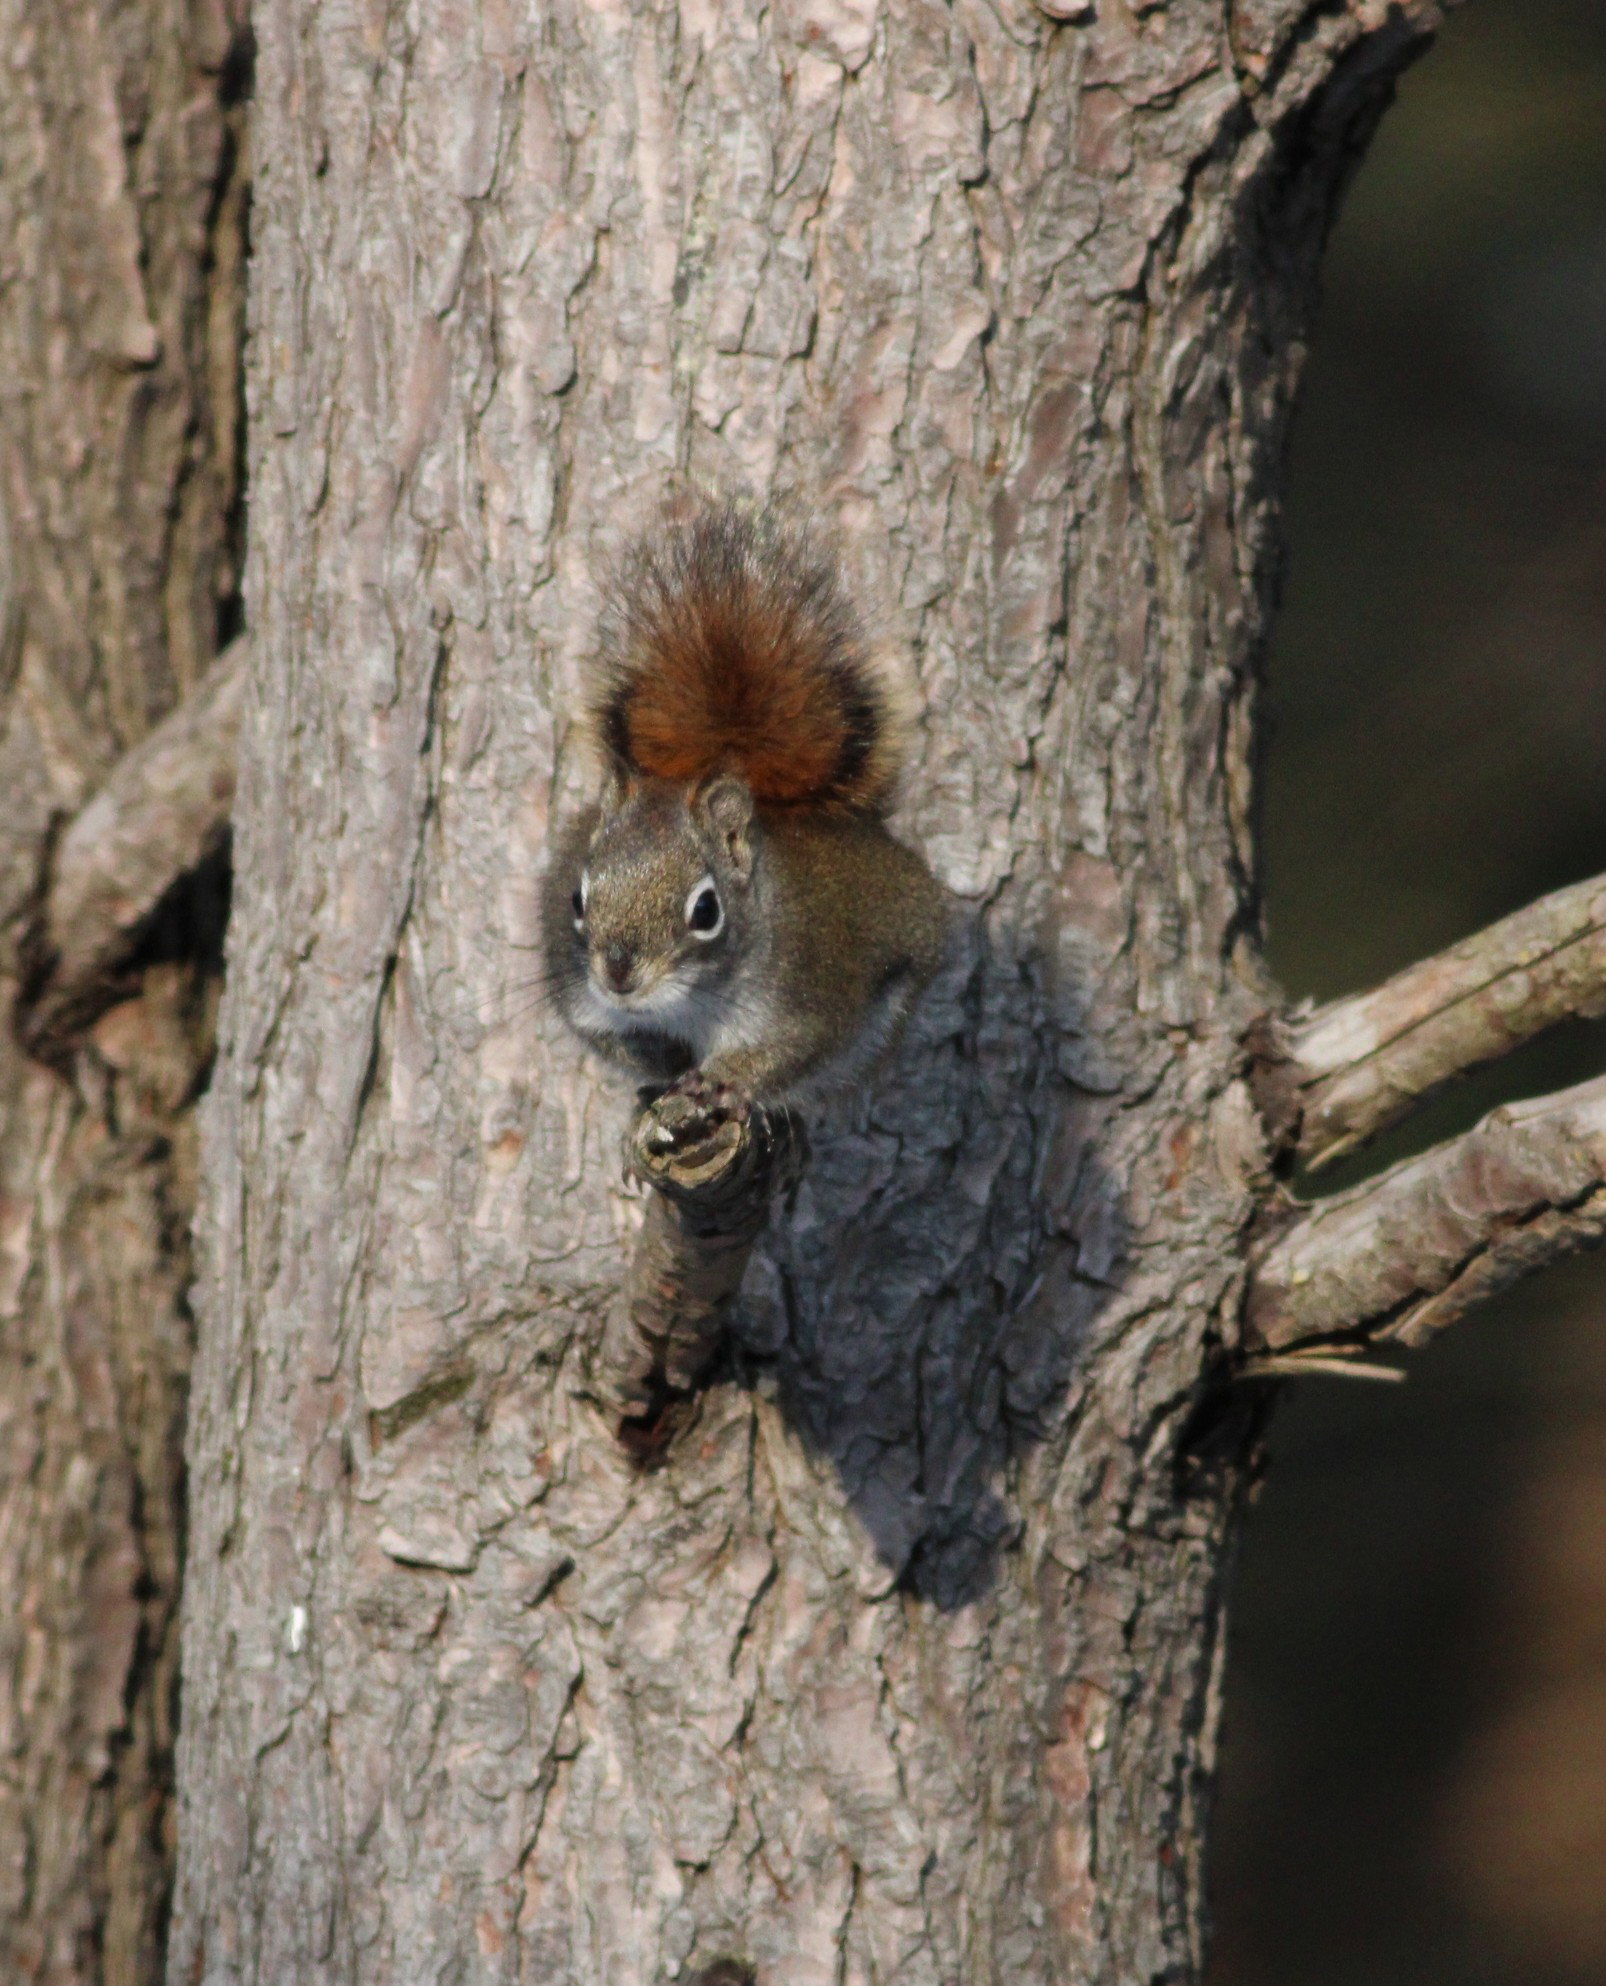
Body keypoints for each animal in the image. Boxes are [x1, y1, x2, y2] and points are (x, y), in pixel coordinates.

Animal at [542, 499, 949, 1108]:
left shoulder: (804, 1005)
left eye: (706, 911)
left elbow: (784, 1055)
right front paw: (658, 1057)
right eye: (576, 899)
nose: (618, 975)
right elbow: (603, 1033)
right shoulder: (579, 996)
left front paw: (721, 1078)